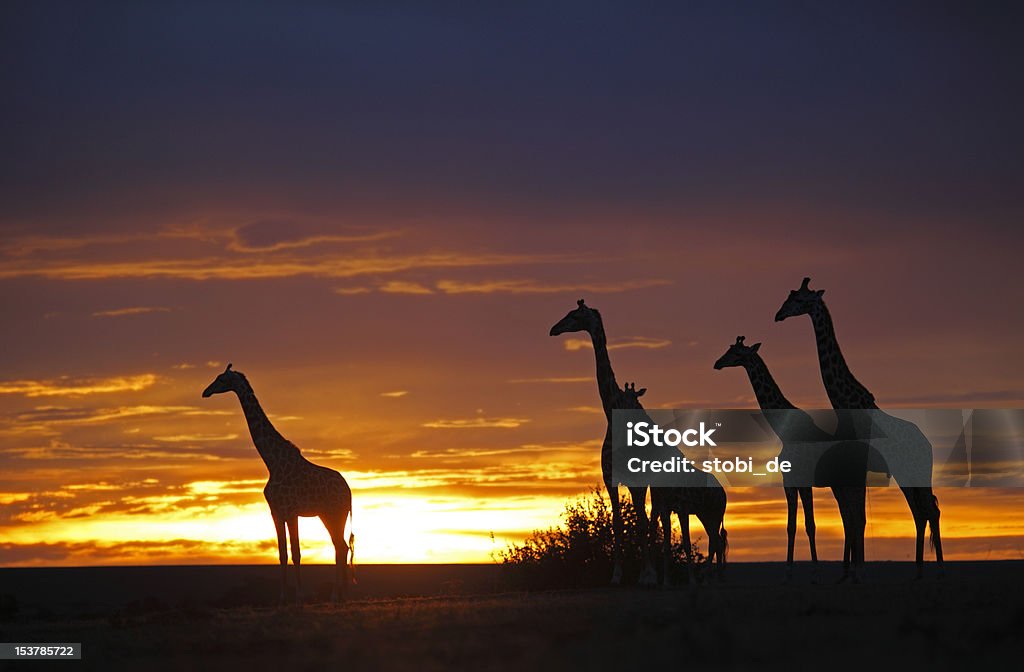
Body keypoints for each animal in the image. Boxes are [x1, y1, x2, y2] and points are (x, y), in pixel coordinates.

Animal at [202, 364, 356, 602]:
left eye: (221, 379)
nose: (205, 392)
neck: (272, 462)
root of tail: (348, 491)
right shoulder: (275, 512)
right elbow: (282, 553)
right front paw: (283, 597)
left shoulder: (291, 511)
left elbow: (296, 552)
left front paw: (299, 596)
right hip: (327, 514)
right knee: (341, 547)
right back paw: (342, 595)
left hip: (335, 513)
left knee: (341, 547)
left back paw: (336, 595)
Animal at [548, 299, 651, 581]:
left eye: (574, 316)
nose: (553, 329)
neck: (613, 410)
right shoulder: (610, 477)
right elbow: (617, 522)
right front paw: (616, 575)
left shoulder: (636, 480)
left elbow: (640, 523)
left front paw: (645, 575)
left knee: (653, 519)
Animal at [614, 381, 729, 585]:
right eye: (620, 399)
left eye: (634, 400)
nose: (623, 416)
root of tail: (723, 492)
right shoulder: (666, 508)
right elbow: (667, 545)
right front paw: (666, 582)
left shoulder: (682, 508)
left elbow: (687, 543)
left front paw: (691, 581)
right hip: (705, 515)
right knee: (715, 541)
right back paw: (712, 579)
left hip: (715, 513)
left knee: (715, 542)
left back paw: (709, 579)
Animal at [720, 338, 872, 581]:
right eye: (729, 349)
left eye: (736, 353)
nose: (717, 363)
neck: (784, 432)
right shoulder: (789, 481)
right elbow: (791, 526)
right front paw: (788, 572)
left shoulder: (804, 480)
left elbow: (811, 524)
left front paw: (815, 572)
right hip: (841, 486)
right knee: (851, 520)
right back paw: (847, 572)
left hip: (852, 484)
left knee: (857, 519)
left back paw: (858, 571)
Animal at [774, 278, 942, 577]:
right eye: (789, 296)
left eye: (800, 300)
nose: (778, 315)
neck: (847, 401)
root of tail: (928, 446)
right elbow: (853, 520)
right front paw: (851, 569)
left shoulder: (856, 470)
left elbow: (856, 520)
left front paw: (855, 570)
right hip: (909, 474)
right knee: (922, 512)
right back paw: (919, 572)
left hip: (913, 471)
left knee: (928, 511)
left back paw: (936, 571)